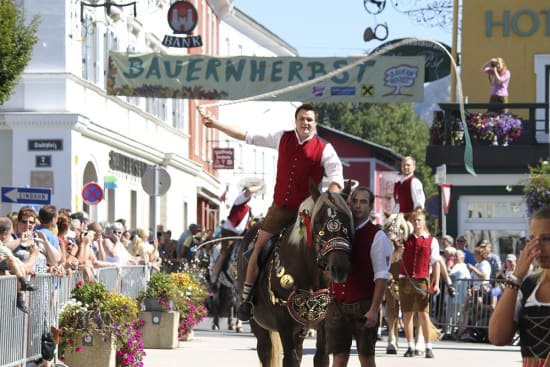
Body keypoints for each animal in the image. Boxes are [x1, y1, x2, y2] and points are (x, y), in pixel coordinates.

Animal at [239, 185, 356, 366]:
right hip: (258, 322)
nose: (340, 268)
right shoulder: (285, 322)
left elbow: (321, 358)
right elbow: (290, 359)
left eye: (347, 220)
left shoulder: (321, 321)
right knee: (265, 350)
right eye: (318, 221)